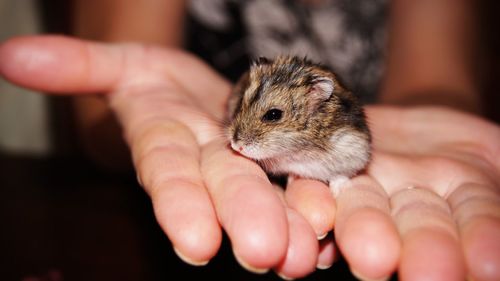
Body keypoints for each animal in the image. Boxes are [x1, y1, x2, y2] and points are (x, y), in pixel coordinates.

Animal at [227, 54, 372, 195]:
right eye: (241, 101)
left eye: (274, 114)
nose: (236, 146)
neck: (297, 150)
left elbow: (341, 175)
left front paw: (339, 190)